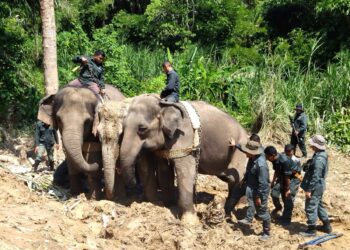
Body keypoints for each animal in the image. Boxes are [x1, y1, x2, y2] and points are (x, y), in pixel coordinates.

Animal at [119, 94, 249, 224]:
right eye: (123, 127)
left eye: (142, 128)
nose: (135, 185)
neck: (163, 104)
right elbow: (164, 170)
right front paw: (169, 205)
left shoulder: (184, 136)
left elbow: (185, 171)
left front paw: (190, 222)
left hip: (240, 150)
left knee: (234, 178)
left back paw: (235, 211)